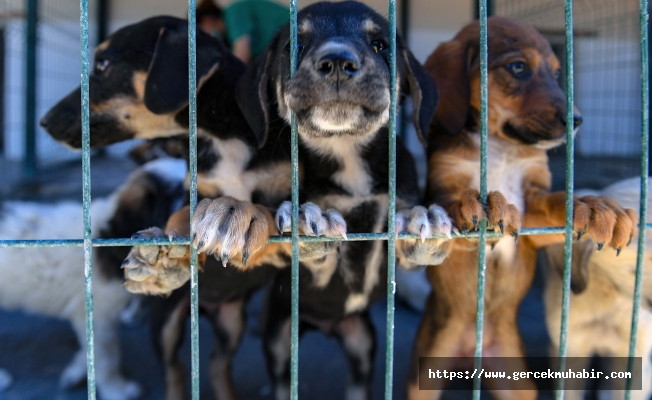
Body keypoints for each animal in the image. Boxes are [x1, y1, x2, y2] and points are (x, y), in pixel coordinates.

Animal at [0, 158, 186, 398]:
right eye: (180, 191)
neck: (110, 234)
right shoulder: (97, 313)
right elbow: (107, 357)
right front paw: (117, 390)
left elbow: (90, 349)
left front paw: (78, 369)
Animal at [408, 16, 636, 400]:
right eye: (518, 67)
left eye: (558, 72)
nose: (578, 121)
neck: (502, 146)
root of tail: (470, 356)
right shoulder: (444, 184)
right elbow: (452, 204)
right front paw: (475, 206)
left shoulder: (531, 215)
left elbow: (560, 200)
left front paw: (596, 208)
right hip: (424, 375)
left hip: (518, 382)